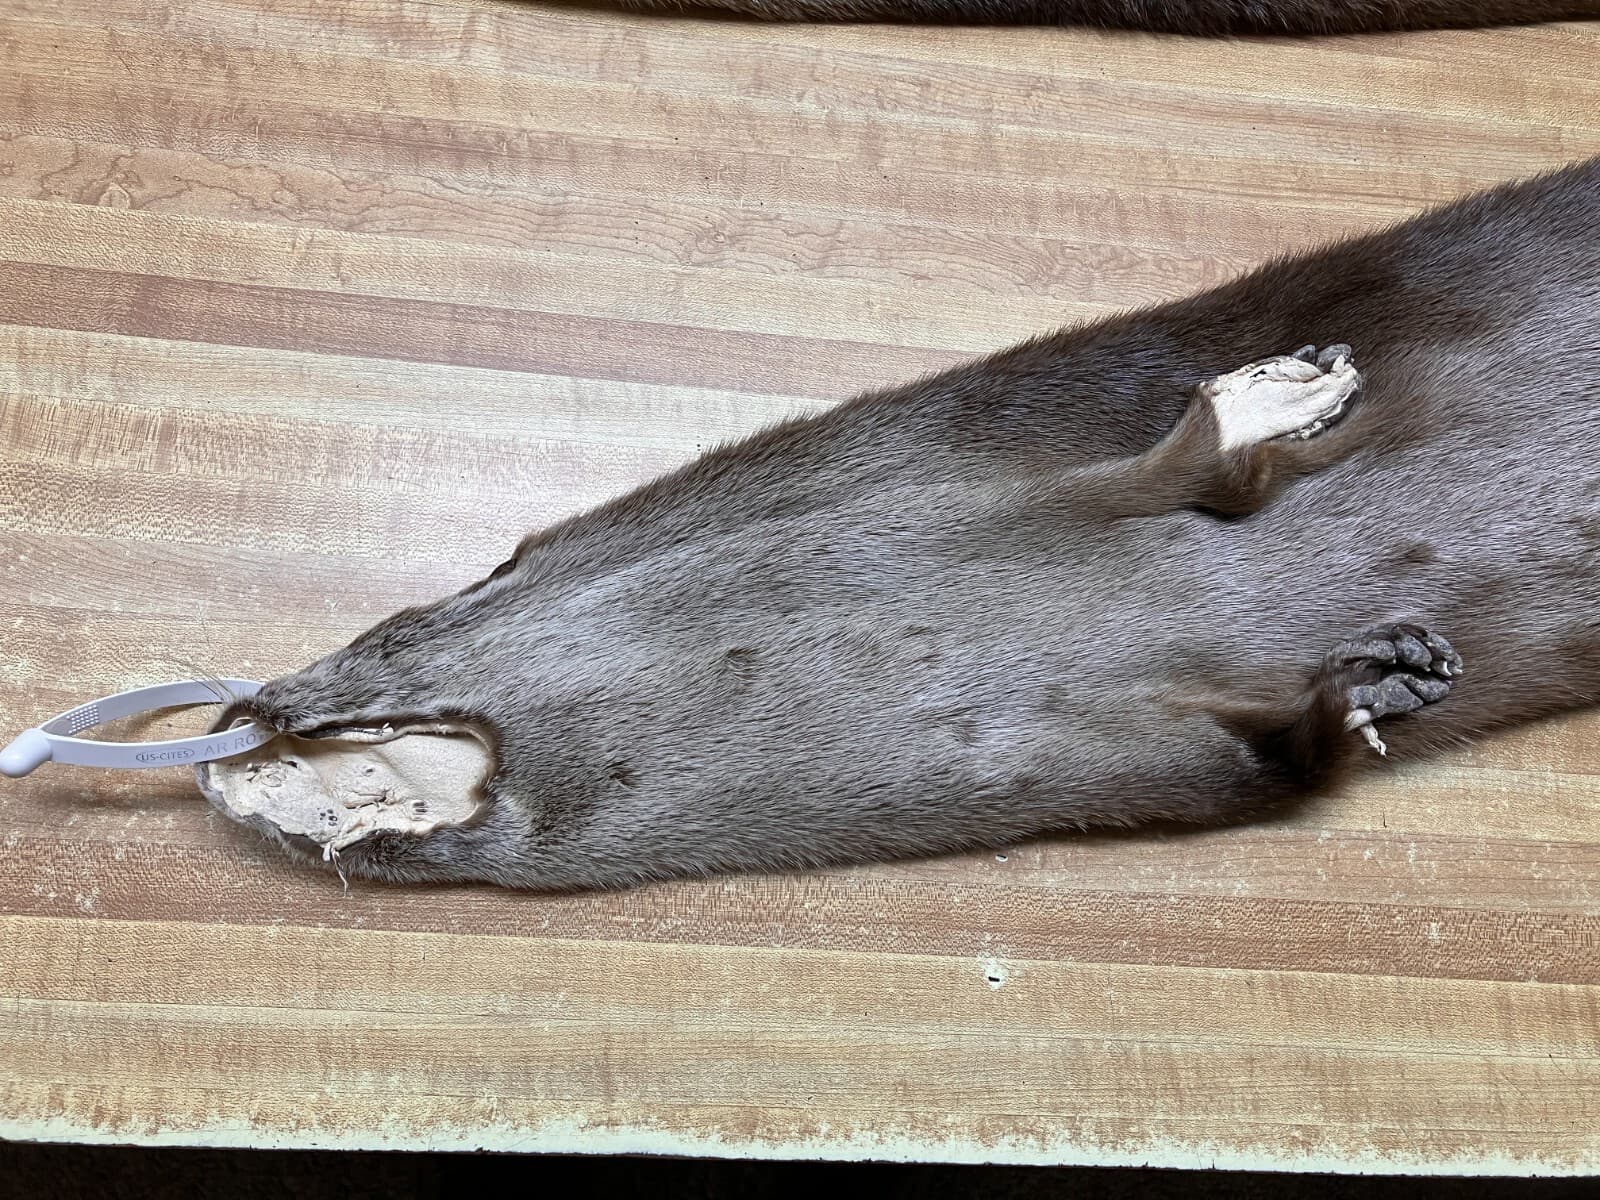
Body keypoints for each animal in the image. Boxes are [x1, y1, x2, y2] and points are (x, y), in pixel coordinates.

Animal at [199, 156, 1600, 892]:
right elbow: (1262, 769)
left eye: (394, 626)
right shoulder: (1105, 767)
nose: (230, 725)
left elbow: (1178, 473)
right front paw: (1369, 684)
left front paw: (1280, 395)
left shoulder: (1003, 500)